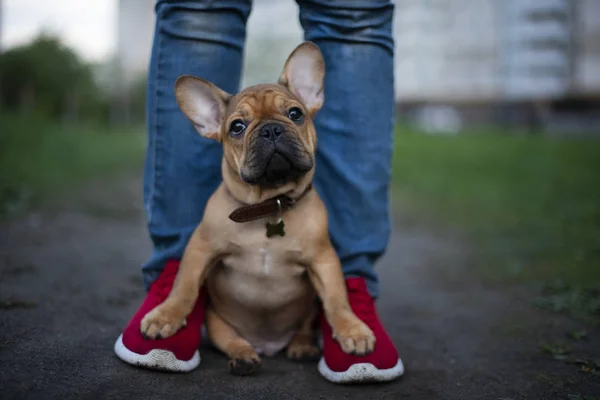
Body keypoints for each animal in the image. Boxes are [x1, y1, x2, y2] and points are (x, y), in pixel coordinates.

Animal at [141, 41, 376, 376]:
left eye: (295, 113)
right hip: (217, 323)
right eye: (237, 127)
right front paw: (166, 316)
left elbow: (337, 299)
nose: (270, 130)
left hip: (308, 312)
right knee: (232, 340)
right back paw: (244, 357)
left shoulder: (324, 260)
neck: (268, 204)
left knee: (305, 328)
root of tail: (268, 345)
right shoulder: (201, 248)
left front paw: (352, 330)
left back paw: (301, 347)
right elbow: (184, 287)